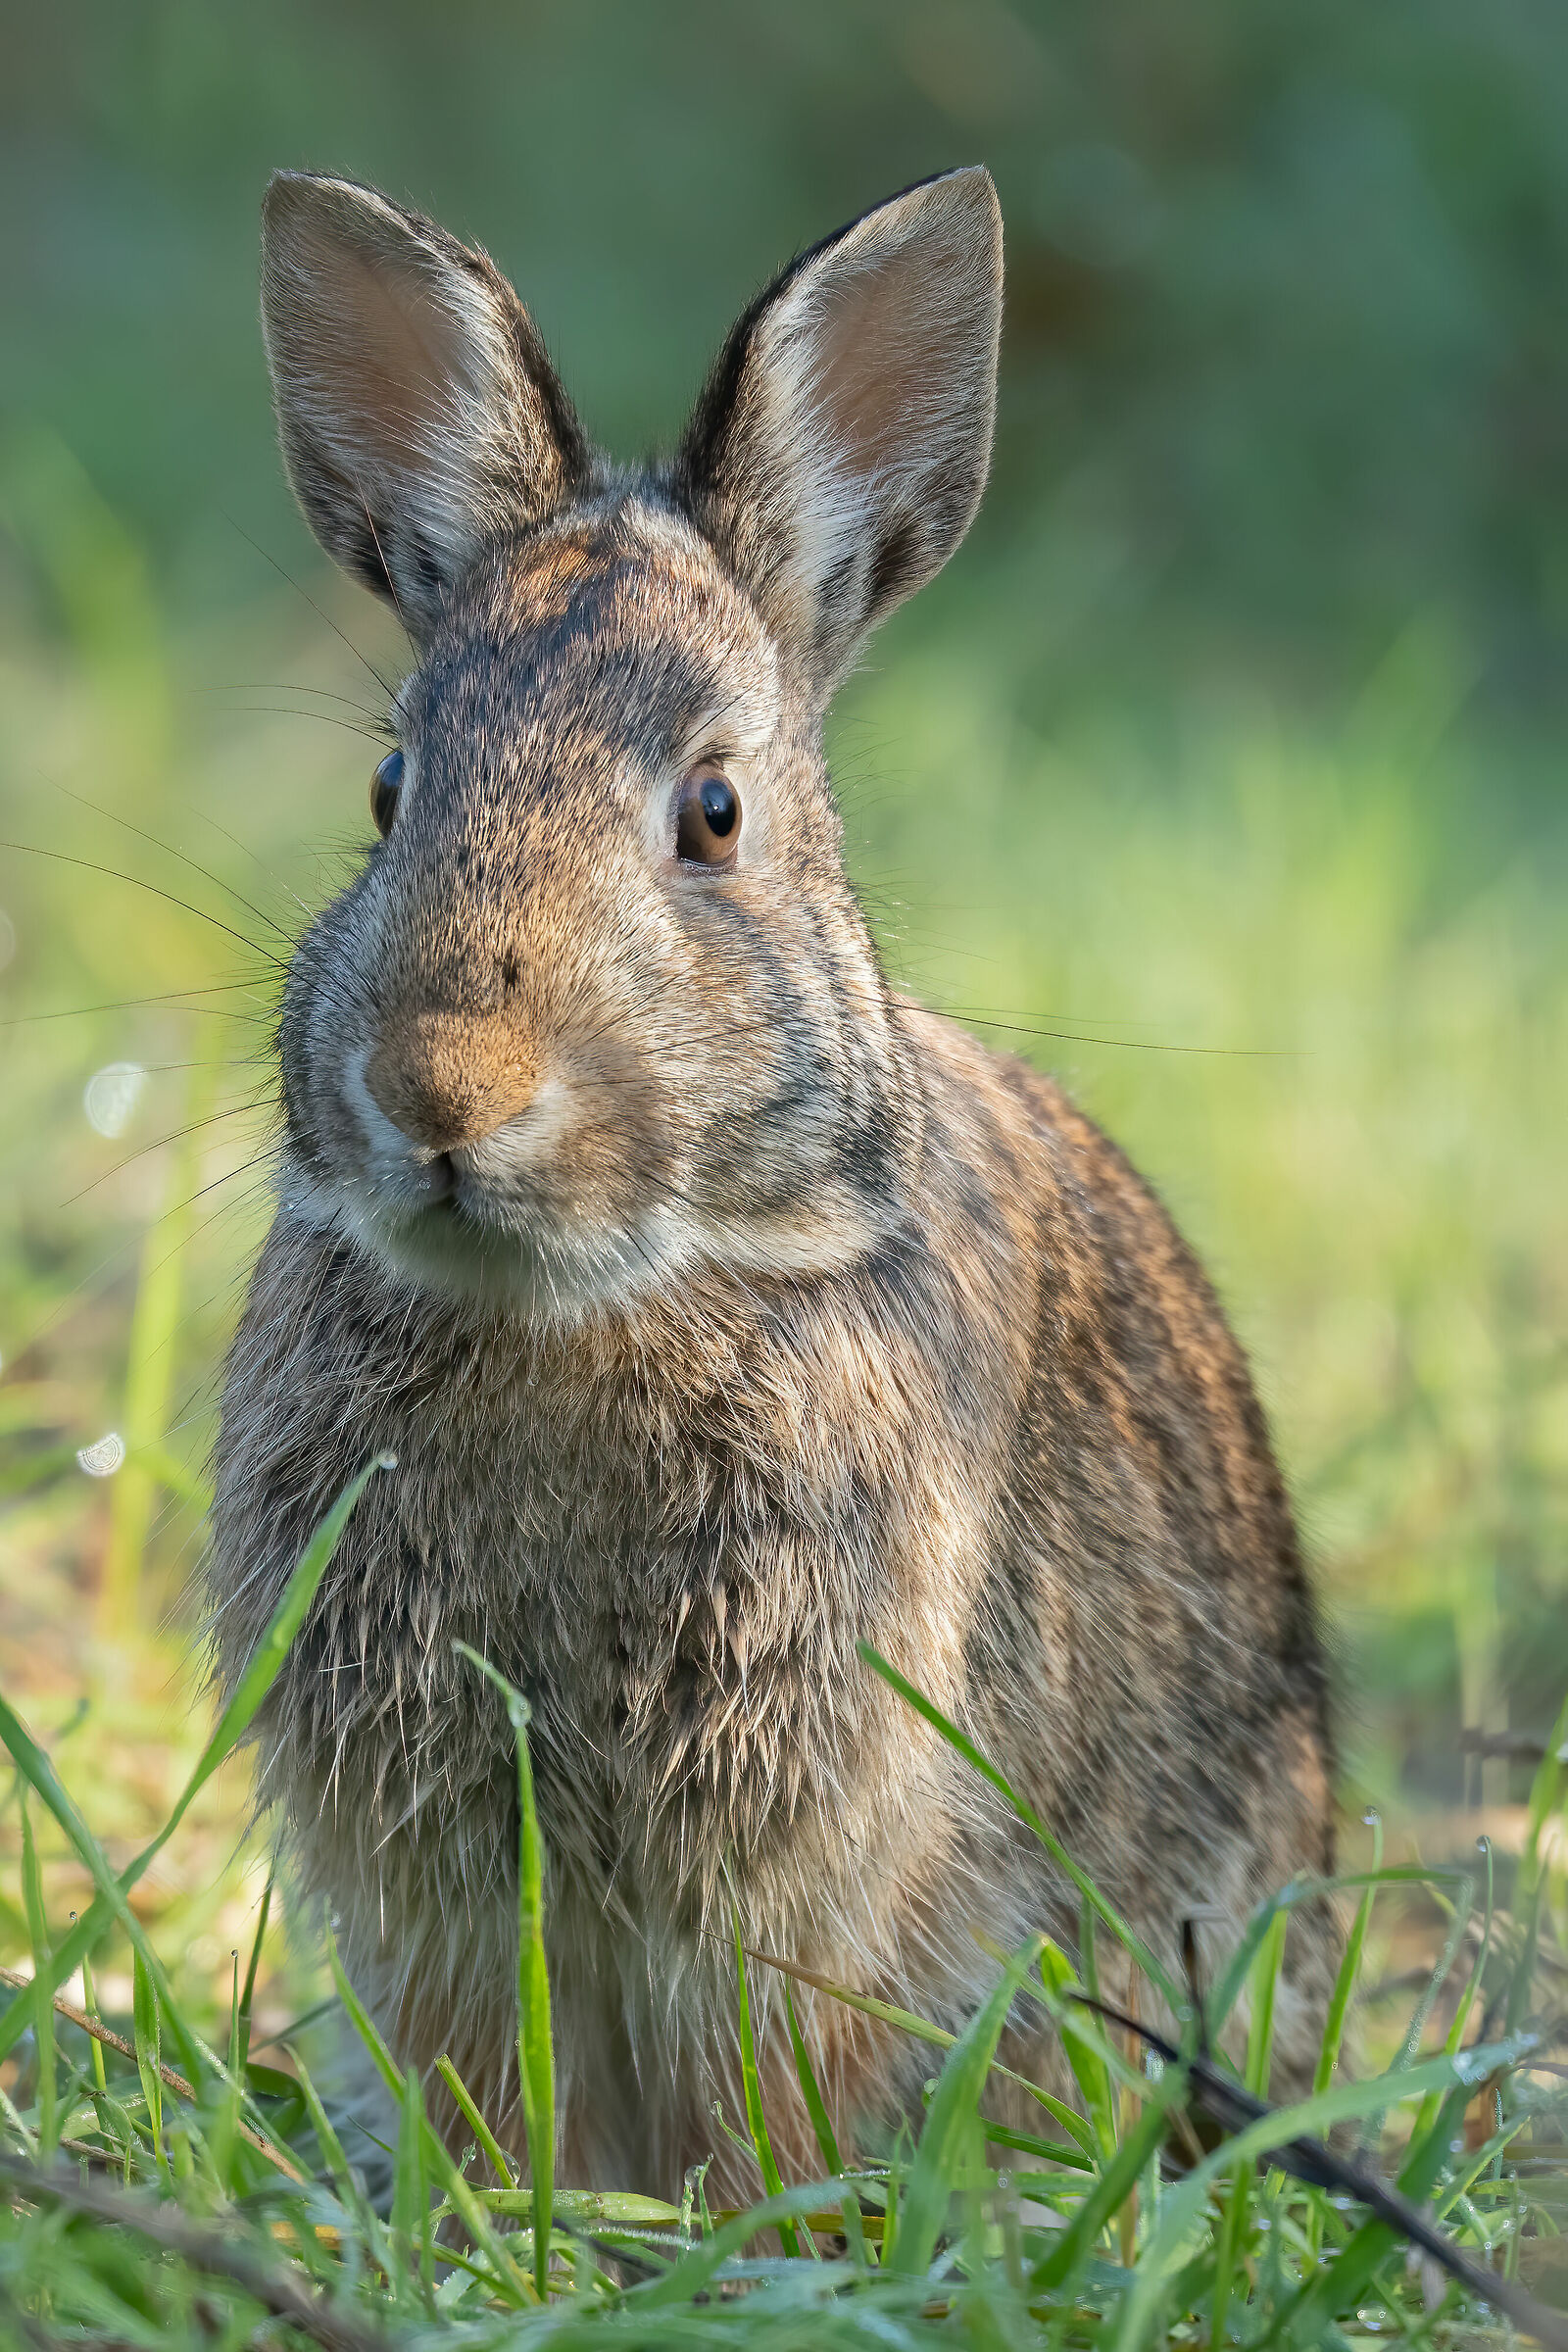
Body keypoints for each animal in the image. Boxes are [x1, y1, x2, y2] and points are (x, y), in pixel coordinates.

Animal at [208, 164, 1338, 2200]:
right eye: (390, 794)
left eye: (712, 816)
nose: (441, 1088)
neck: (590, 1309)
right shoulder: (429, 1852)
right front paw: (489, 2205)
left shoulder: (796, 1835)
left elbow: (763, 2061)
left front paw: (727, 2225)